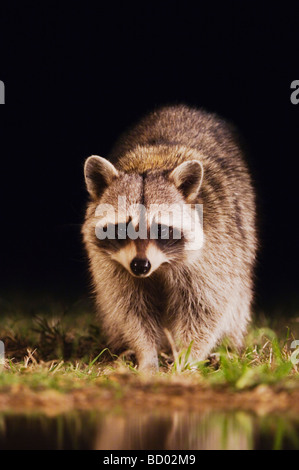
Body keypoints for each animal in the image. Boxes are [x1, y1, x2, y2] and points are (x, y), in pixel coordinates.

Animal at [82, 104, 258, 372]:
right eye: (123, 228)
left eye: (160, 229)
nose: (140, 266)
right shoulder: (111, 268)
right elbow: (130, 310)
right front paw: (146, 355)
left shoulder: (216, 249)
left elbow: (205, 310)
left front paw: (187, 359)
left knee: (237, 302)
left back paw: (228, 348)